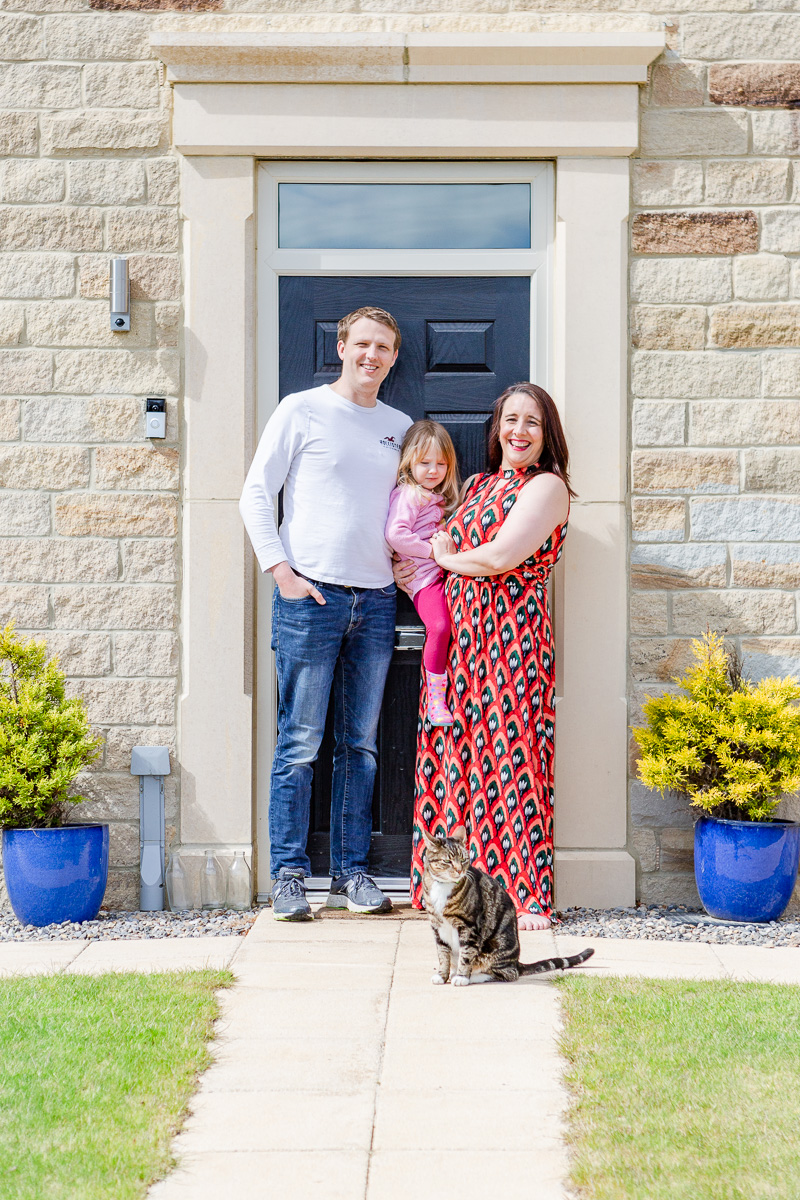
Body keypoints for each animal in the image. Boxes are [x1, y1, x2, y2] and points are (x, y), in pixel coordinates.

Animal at [419, 825, 594, 984]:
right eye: (447, 861)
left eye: (463, 859)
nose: (459, 870)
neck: (442, 886)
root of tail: (516, 962)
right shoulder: (437, 927)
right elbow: (443, 954)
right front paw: (442, 975)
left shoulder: (469, 926)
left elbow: (466, 954)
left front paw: (462, 977)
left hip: (497, 951)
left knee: (506, 973)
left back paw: (472, 976)